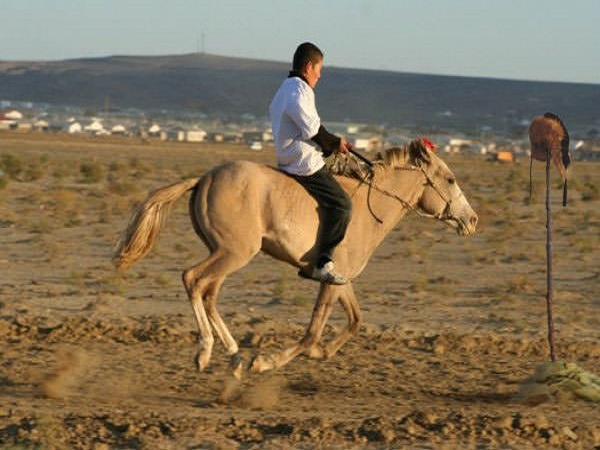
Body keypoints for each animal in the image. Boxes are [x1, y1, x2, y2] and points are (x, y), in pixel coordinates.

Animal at [112, 139, 478, 378]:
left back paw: (233, 356)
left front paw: (321, 353)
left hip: (224, 253)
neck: (369, 208)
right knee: (192, 279)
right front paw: (267, 362)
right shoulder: (331, 280)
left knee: (208, 292)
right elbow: (313, 331)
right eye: (450, 179)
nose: (472, 220)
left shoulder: (339, 277)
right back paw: (206, 352)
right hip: (234, 252)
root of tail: (204, 178)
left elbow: (355, 320)